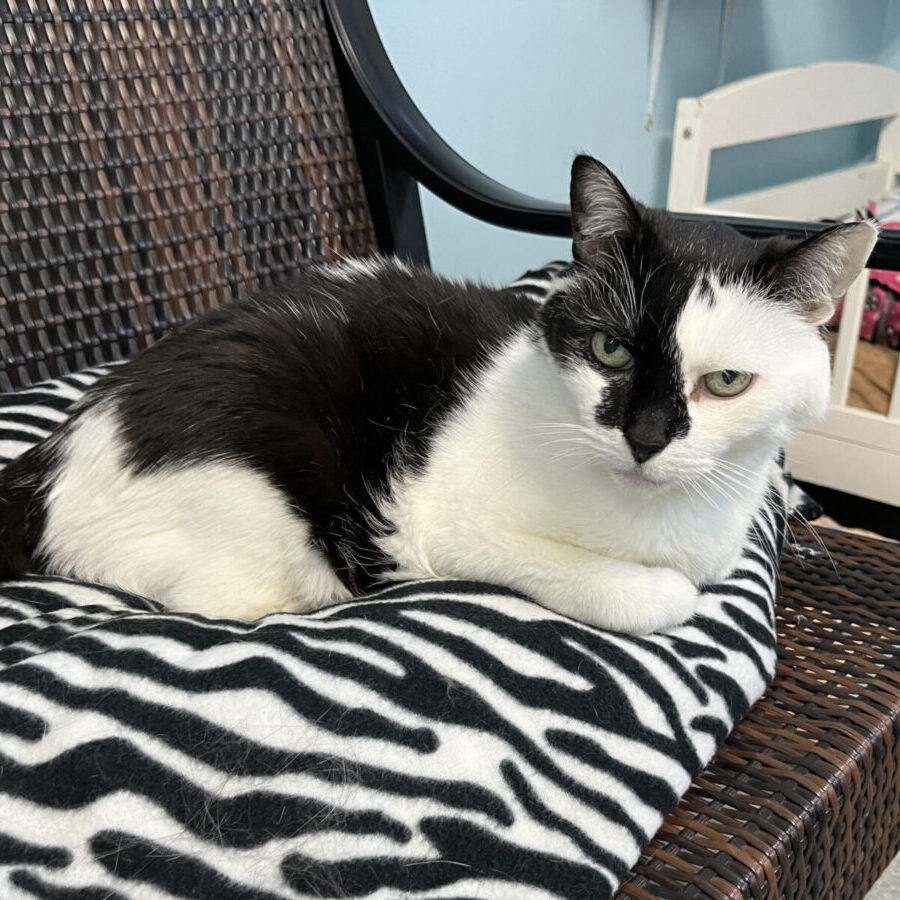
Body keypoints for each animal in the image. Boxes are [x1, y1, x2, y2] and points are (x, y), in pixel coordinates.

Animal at [0, 156, 876, 632]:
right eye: (610, 349)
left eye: (725, 381)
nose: (647, 435)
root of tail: (46, 460)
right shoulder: (438, 528)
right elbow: (634, 591)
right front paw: (656, 590)